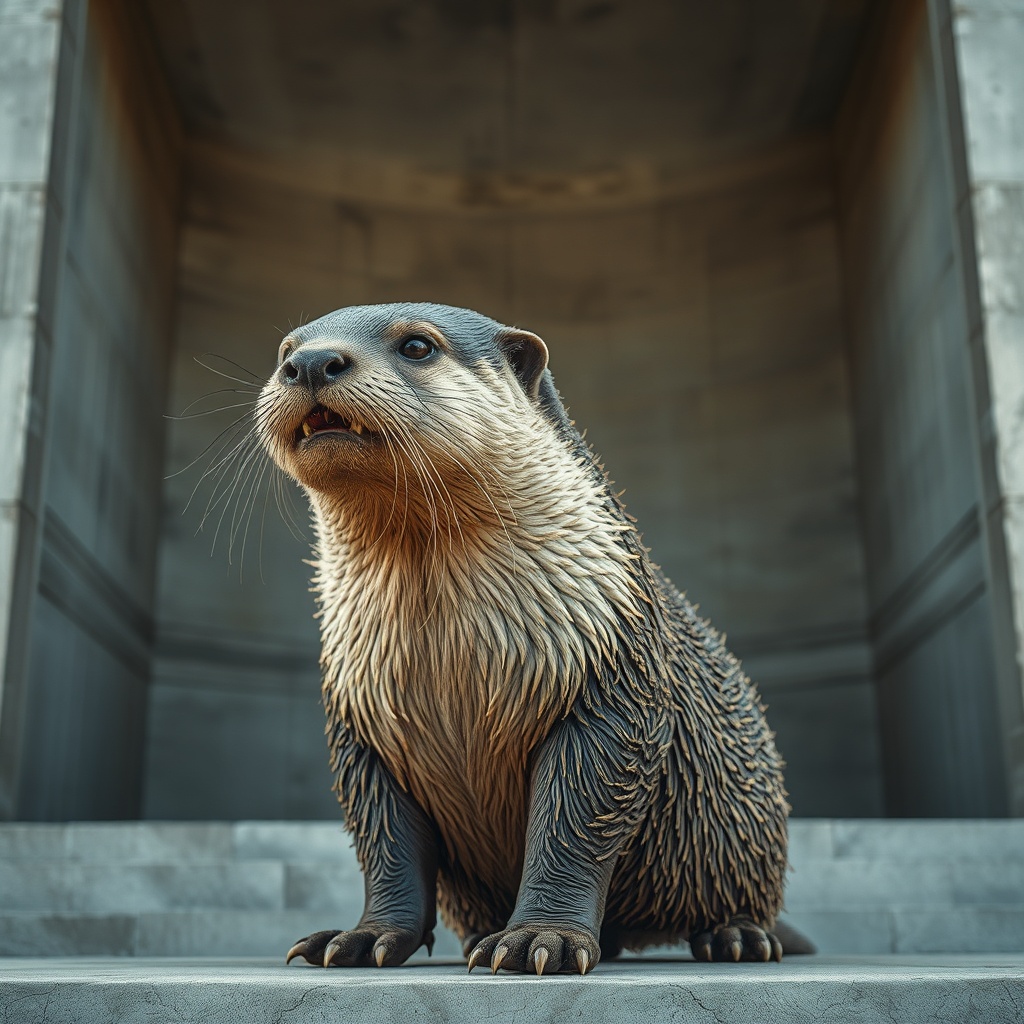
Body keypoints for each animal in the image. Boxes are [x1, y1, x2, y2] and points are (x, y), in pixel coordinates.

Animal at [257, 302, 798, 974]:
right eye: (286, 349)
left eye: (416, 345)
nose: (310, 362)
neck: (446, 663)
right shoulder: (362, 719)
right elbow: (385, 846)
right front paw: (360, 938)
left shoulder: (611, 679)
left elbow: (574, 824)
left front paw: (543, 939)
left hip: (747, 835)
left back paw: (737, 937)